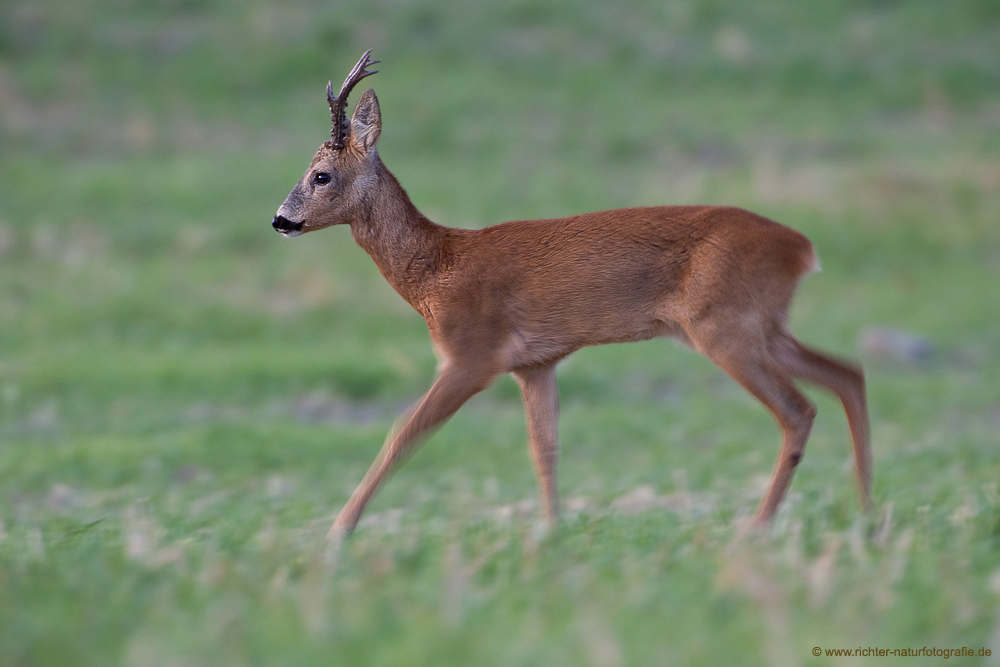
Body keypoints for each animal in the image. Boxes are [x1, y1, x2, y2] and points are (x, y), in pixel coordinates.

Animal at [270, 53, 872, 544]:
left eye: (320, 175)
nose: (280, 220)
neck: (437, 267)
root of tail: (802, 248)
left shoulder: (471, 356)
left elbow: (402, 435)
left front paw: (337, 533)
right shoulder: (536, 363)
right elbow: (545, 448)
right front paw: (553, 532)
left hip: (725, 327)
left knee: (799, 409)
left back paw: (760, 527)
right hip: (762, 325)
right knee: (847, 373)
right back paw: (866, 512)